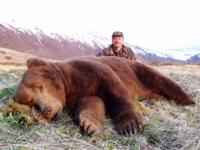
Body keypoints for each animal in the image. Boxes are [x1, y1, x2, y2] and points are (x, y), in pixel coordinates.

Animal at [14, 55, 195, 135]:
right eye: (32, 102)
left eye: (39, 86)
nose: (47, 110)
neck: (69, 83)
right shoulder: (80, 94)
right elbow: (92, 104)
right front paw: (89, 125)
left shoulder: (91, 70)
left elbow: (116, 90)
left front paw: (130, 124)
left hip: (138, 69)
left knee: (163, 80)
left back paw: (189, 101)